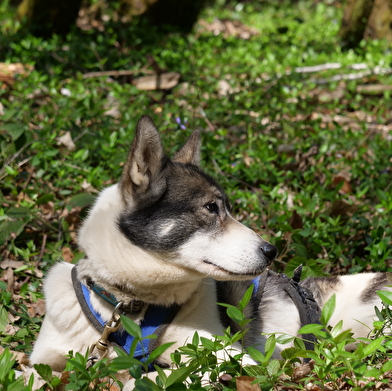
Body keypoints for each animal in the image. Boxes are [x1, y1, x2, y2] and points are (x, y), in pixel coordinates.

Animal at [31, 115, 392, 388]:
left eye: (227, 208)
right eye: (210, 207)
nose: (271, 250)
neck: (132, 305)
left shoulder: (221, 354)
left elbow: (163, 375)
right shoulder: (43, 360)